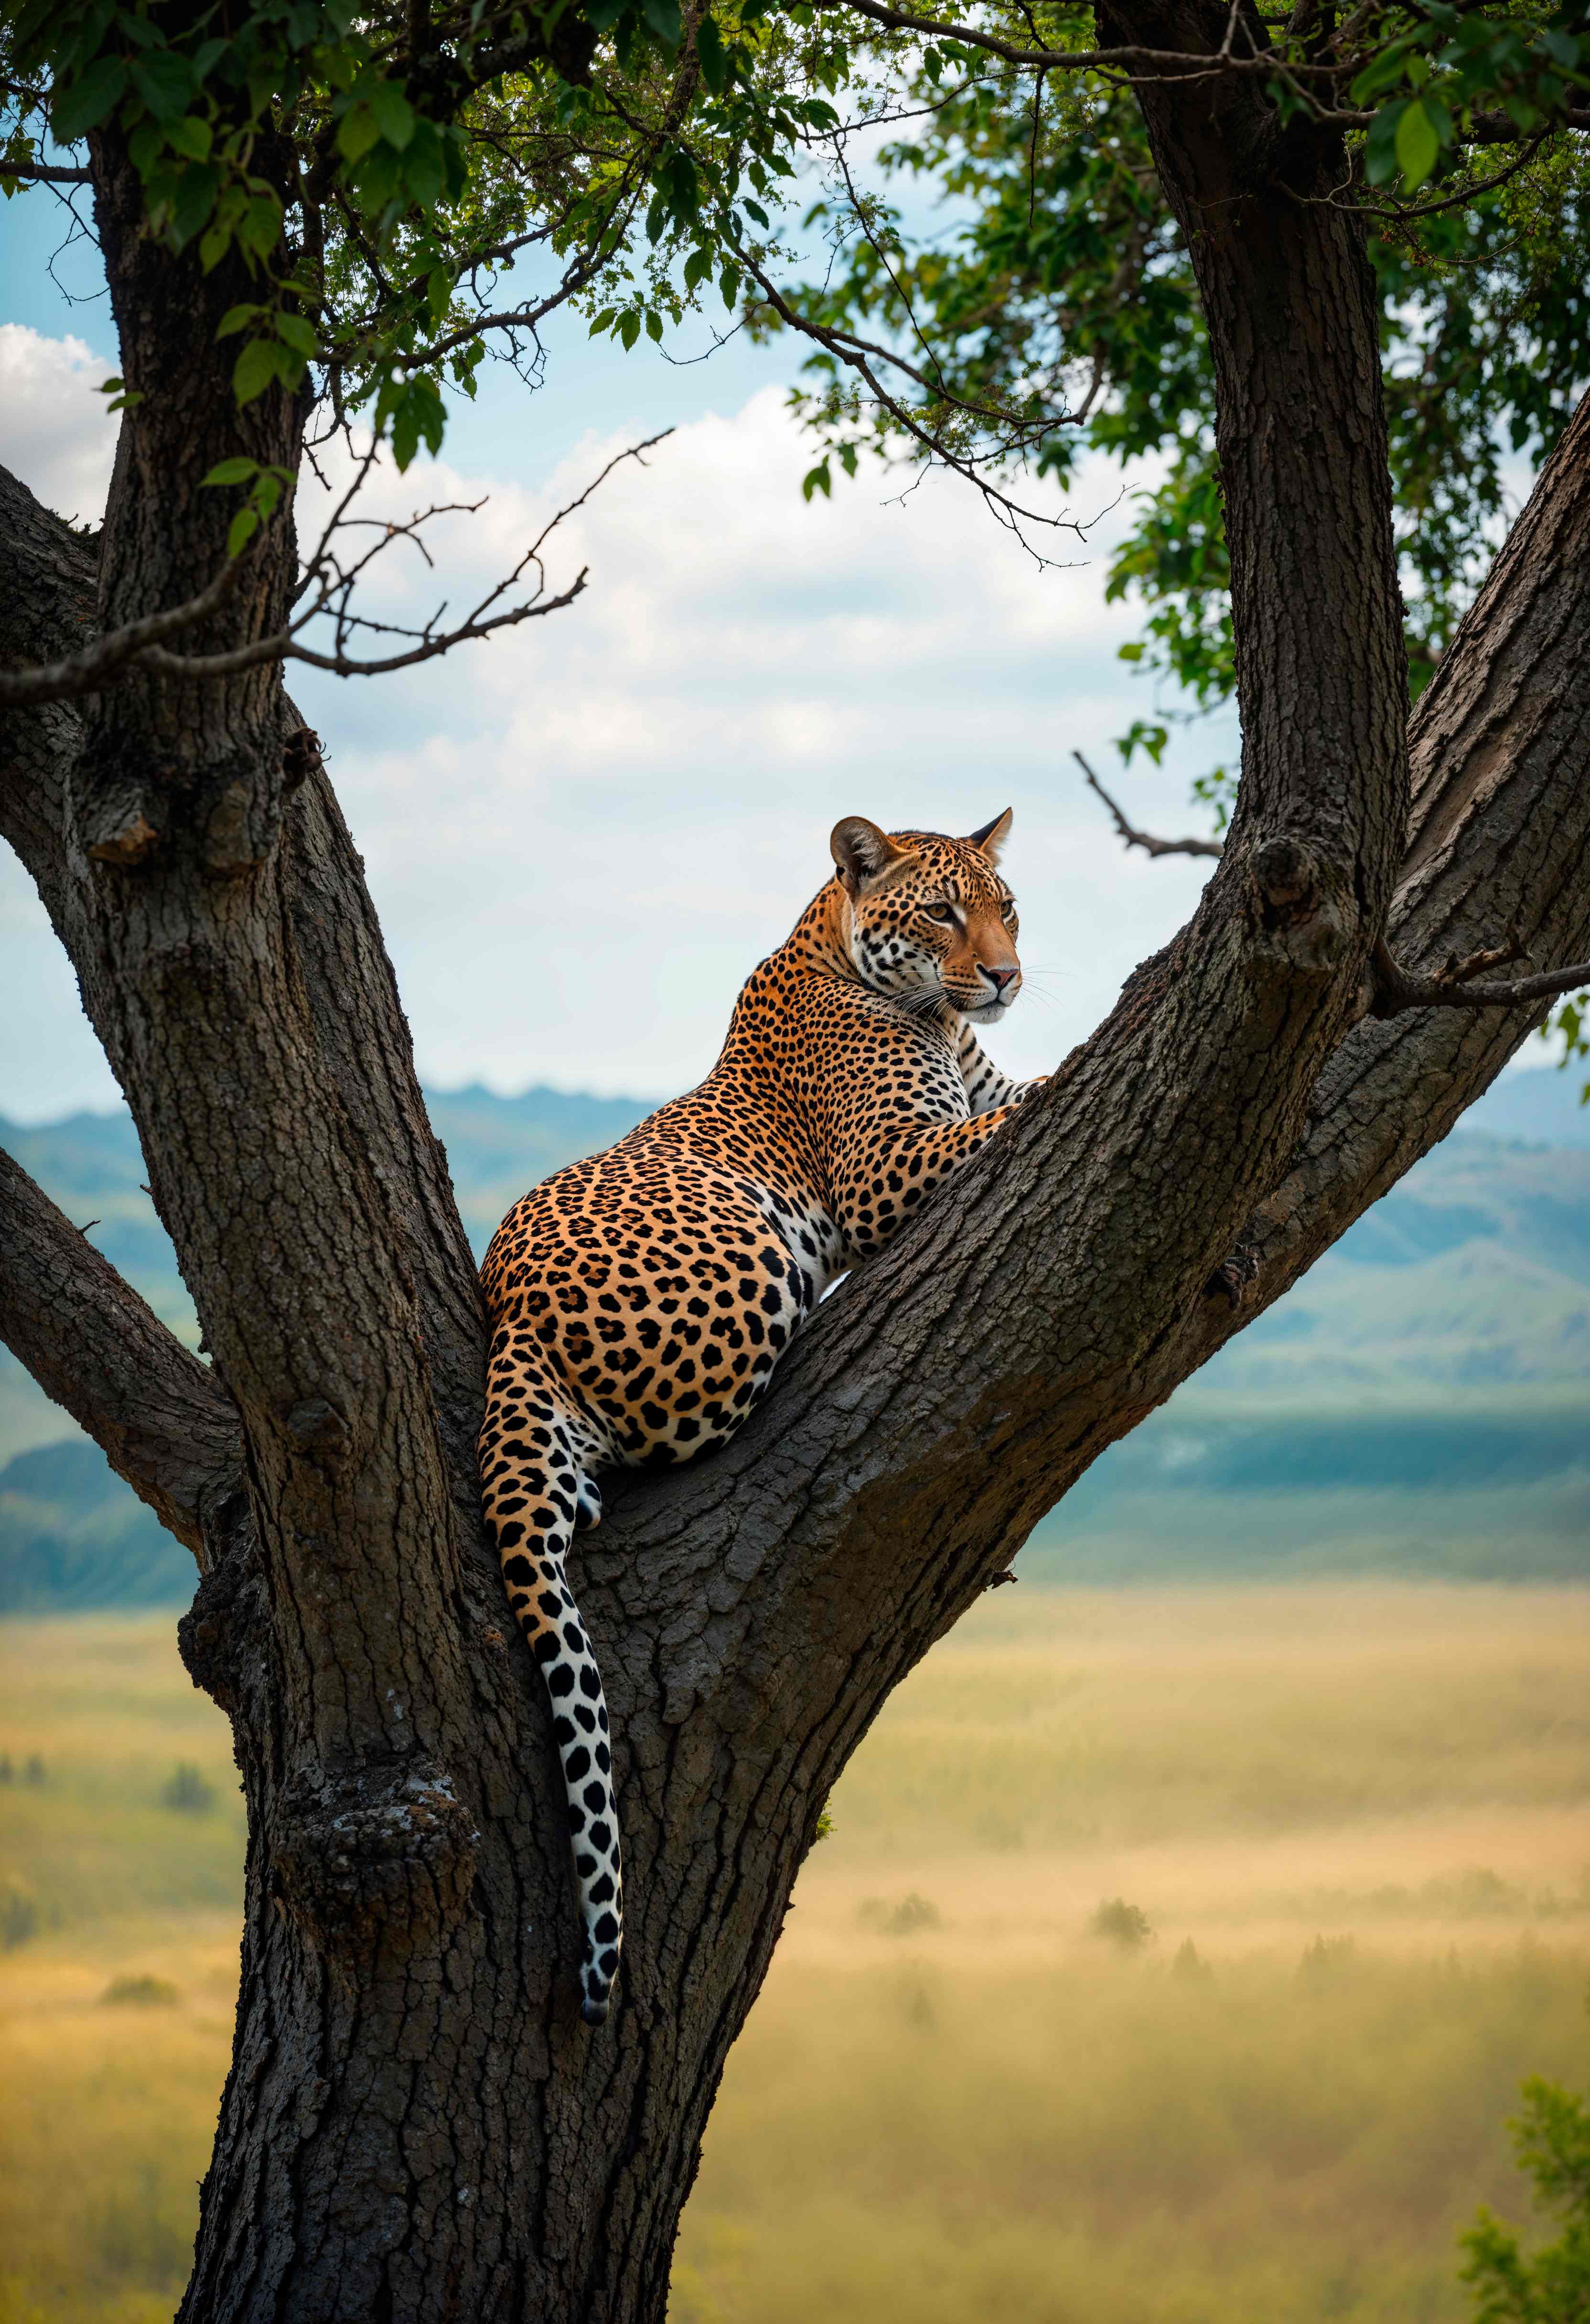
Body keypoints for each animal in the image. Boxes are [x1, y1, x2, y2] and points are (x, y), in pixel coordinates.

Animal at [478, 808, 1043, 2023]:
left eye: (1005, 908)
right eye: (942, 912)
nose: (1006, 975)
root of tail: (508, 1317)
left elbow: (1015, 1086)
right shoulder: (889, 1168)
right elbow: (1035, 1094)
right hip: (743, 1231)